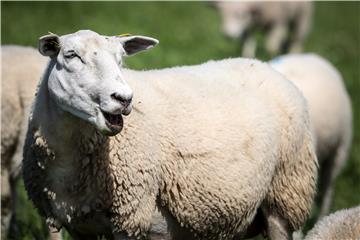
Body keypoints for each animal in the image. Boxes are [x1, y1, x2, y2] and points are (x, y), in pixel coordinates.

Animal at [23, 30, 318, 240]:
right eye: (71, 55)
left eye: (120, 60)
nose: (124, 98)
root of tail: (263, 65)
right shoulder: (67, 222)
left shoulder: (132, 219)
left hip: (285, 194)